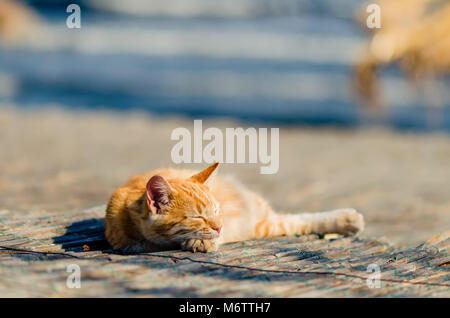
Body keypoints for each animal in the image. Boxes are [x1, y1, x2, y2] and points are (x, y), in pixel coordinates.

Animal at [103, 163, 364, 252]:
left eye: (217, 211)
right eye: (198, 217)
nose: (220, 226)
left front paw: (203, 241)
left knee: (300, 220)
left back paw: (348, 220)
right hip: (264, 226)